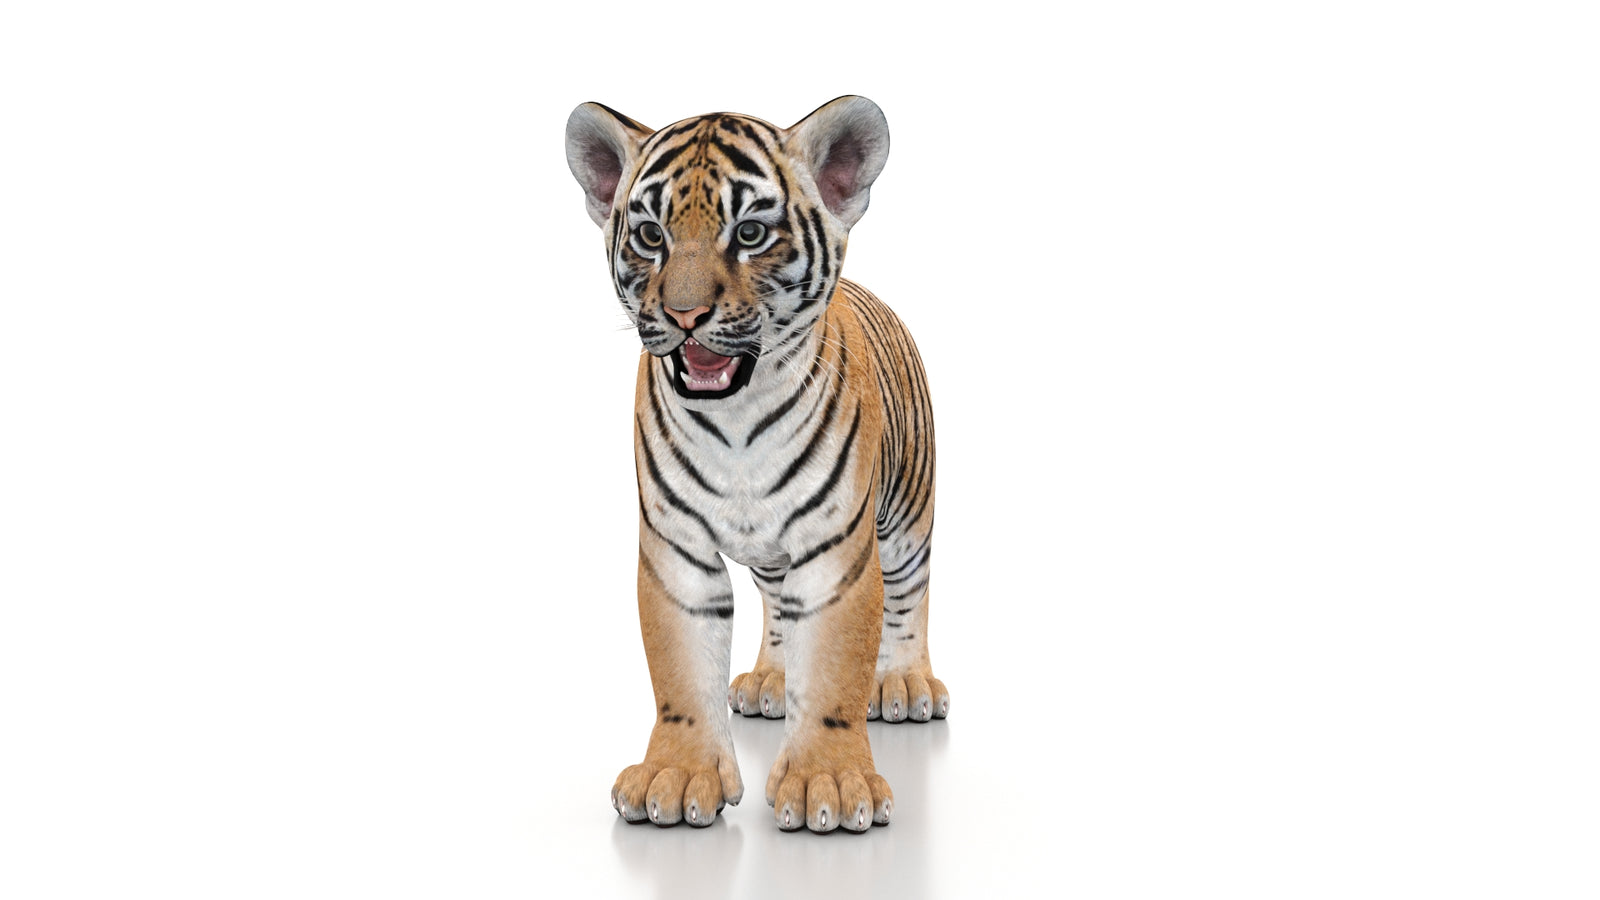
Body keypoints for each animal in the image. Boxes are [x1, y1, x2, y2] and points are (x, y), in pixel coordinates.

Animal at [564, 96, 946, 833]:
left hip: (909, 515)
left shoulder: (836, 553)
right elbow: (682, 671)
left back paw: (905, 683)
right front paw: (678, 776)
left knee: (911, 595)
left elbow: (836, 670)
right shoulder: (675, 550)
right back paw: (772, 680)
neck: (735, 422)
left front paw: (829, 785)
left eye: (749, 233)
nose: (684, 315)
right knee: (776, 604)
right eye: (649, 235)